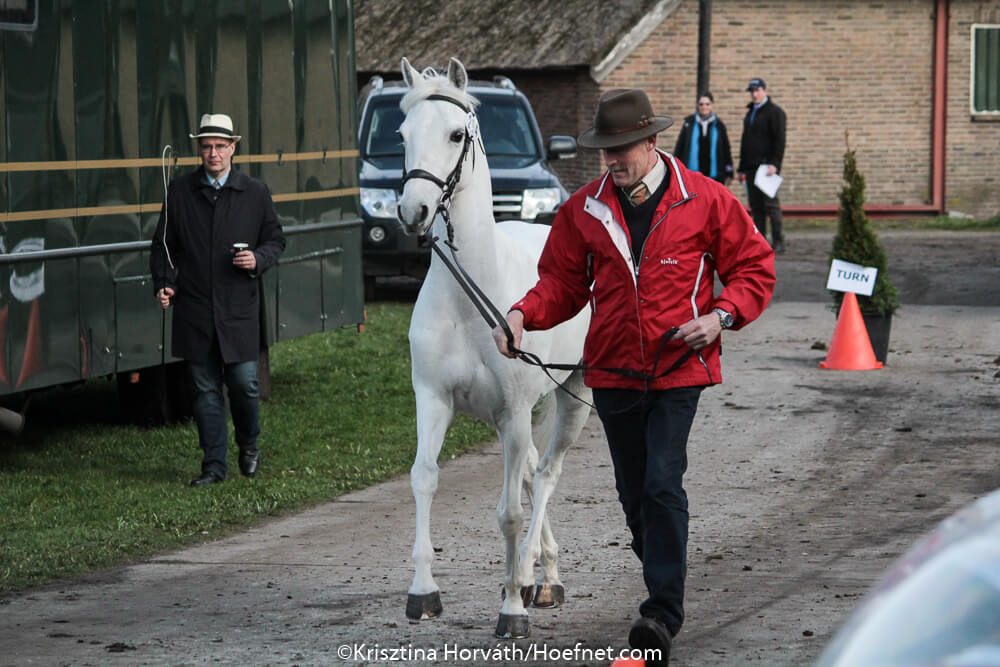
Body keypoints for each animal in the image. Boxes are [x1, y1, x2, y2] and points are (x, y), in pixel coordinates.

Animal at [394, 56, 588, 636]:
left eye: (456, 134)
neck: (470, 301)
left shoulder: (514, 411)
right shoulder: (433, 399)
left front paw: (512, 608)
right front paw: (423, 592)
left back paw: (533, 578)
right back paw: (542, 573)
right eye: (402, 134)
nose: (412, 211)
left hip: (570, 398)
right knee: (530, 472)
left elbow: (510, 512)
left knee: (544, 476)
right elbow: (424, 479)